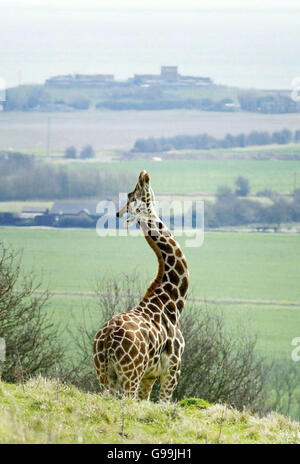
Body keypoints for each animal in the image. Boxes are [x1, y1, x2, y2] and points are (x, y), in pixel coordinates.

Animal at [92, 170, 189, 402]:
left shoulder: (149, 377)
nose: (144, 175)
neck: (172, 303)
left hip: (104, 374)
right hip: (130, 374)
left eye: (133, 195)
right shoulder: (172, 371)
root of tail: (107, 341)